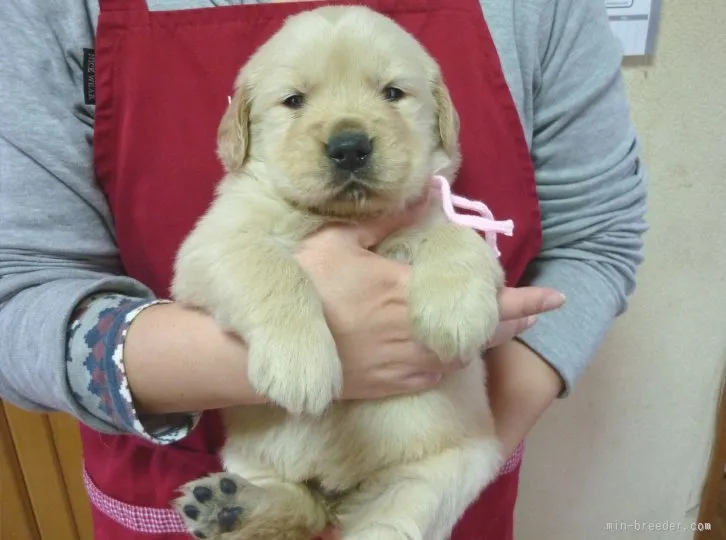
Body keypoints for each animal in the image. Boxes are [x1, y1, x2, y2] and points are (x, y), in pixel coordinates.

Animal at [173, 5, 506, 540]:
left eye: (392, 93)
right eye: (294, 101)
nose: (350, 147)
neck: (339, 217)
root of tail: (335, 493)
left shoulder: (437, 215)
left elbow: (455, 237)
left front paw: (456, 316)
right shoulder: (213, 243)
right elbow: (271, 269)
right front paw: (301, 362)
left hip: (430, 482)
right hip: (249, 455)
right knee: (297, 506)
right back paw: (231, 506)